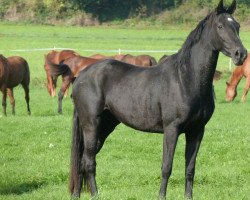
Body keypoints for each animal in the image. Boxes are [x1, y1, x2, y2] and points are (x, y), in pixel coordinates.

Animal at [69, 0, 247, 199]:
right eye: (220, 26)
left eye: (237, 26)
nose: (241, 54)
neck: (186, 78)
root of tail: (81, 76)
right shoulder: (171, 129)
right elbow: (166, 166)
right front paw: (161, 195)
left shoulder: (197, 131)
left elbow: (190, 168)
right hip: (91, 125)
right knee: (88, 161)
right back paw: (95, 194)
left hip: (106, 126)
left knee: (82, 161)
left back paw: (77, 194)